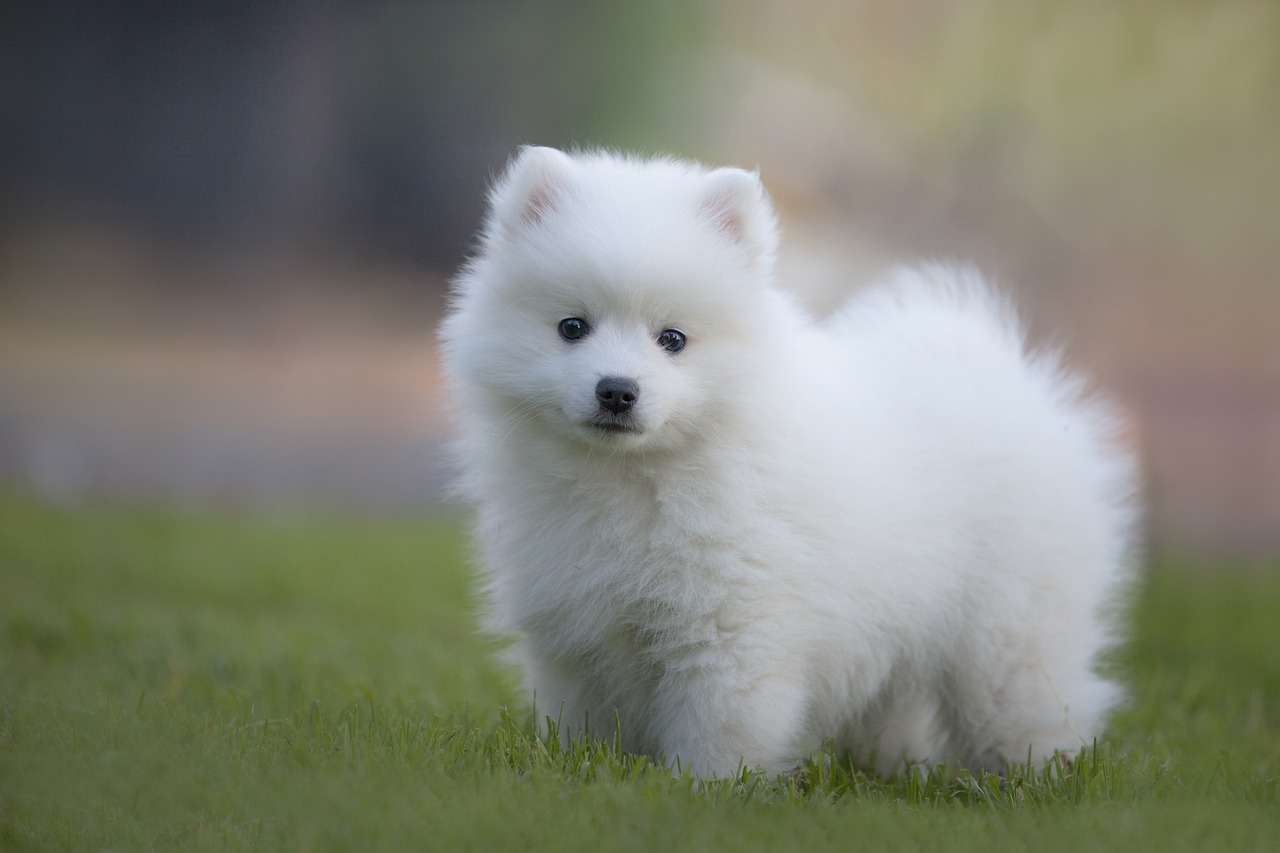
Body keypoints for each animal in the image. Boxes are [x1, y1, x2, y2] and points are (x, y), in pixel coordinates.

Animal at [440, 146, 1141, 778]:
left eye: (673, 339)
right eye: (571, 327)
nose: (616, 390)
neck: (636, 477)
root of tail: (1004, 378)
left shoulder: (733, 627)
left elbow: (721, 727)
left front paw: (702, 789)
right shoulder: (573, 635)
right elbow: (586, 722)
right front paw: (580, 773)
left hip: (1011, 626)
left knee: (1028, 701)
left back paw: (1035, 777)